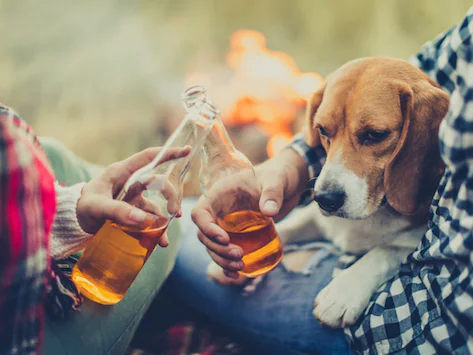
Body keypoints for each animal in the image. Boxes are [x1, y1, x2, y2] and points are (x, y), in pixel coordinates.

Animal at [208, 56, 448, 330]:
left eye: (375, 134)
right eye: (322, 130)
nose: (325, 199)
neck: (373, 214)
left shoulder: (417, 237)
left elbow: (388, 250)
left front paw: (342, 292)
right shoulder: (318, 220)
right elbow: (288, 227)